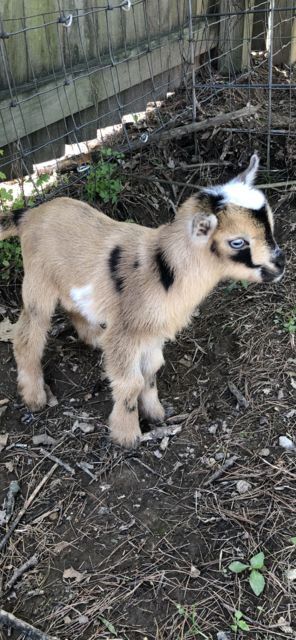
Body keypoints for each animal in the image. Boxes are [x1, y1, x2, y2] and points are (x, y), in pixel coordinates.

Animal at [0, 154, 286, 444]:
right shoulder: (126, 330)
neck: (164, 270)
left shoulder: (152, 330)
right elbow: (131, 382)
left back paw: (94, 338)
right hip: (38, 281)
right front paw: (126, 435)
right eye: (238, 242)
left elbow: (151, 371)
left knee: (71, 307)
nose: (280, 265)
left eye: (271, 225)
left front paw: (155, 413)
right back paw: (34, 396)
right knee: (27, 335)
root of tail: (29, 215)